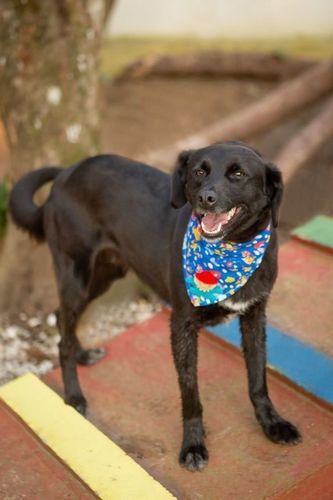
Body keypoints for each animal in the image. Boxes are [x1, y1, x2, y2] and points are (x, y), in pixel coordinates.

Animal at [9, 142, 300, 472]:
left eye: (238, 174)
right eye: (199, 172)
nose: (206, 198)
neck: (232, 249)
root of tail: (65, 173)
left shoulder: (254, 317)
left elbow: (258, 380)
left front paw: (272, 424)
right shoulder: (182, 325)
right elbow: (190, 392)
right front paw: (193, 445)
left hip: (105, 276)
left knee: (61, 319)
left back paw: (83, 354)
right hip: (76, 276)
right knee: (64, 334)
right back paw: (73, 395)